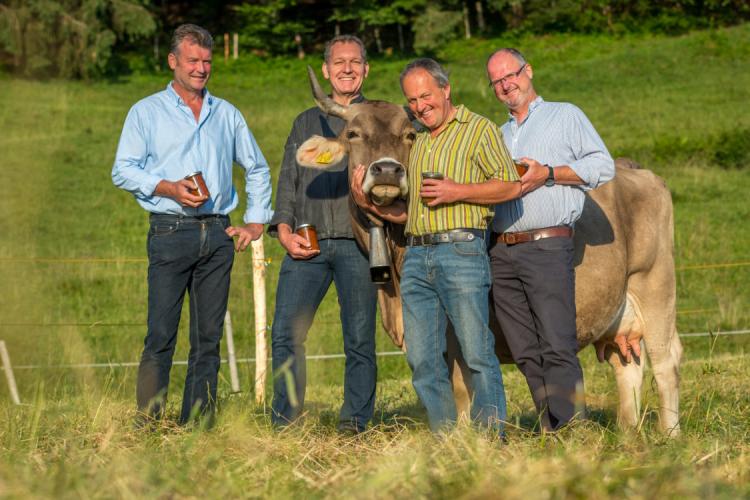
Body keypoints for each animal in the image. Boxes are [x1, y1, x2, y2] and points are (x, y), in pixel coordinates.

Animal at [296, 66, 684, 434]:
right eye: (353, 134)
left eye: (408, 135)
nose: (387, 170)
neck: (394, 274)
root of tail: (631, 168)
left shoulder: (457, 335)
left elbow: (460, 389)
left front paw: (466, 440)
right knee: (627, 363)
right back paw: (628, 432)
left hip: (656, 286)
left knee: (666, 360)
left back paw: (670, 434)